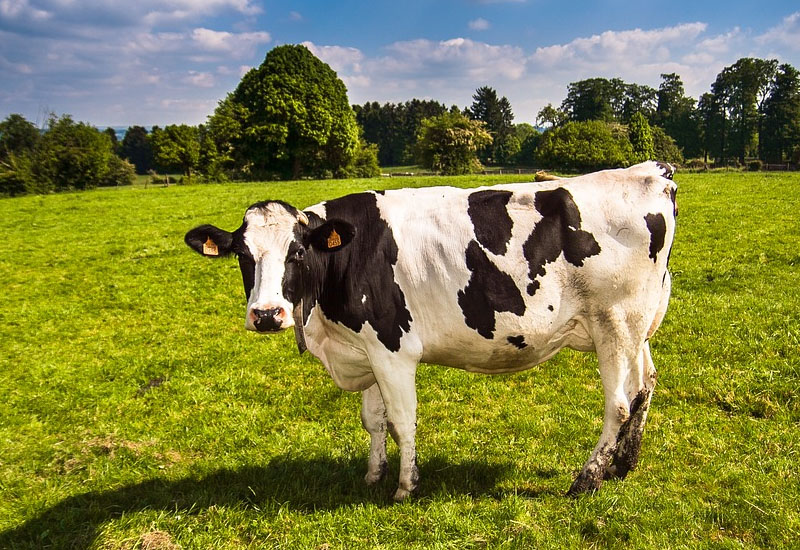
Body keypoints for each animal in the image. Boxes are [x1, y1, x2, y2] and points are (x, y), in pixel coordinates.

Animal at [184, 161, 677, 501]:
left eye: (298, 252)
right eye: (243, 255)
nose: (267, 314)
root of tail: (651, 171)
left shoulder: (392, 348)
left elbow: (402, 420)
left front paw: (405, 486)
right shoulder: (365, 348)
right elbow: (373, 420)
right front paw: (373, 474)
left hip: (614, 322)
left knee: (618, 403)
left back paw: (588, 478)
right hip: (637, 326)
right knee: (645, 386)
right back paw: (623, 464)